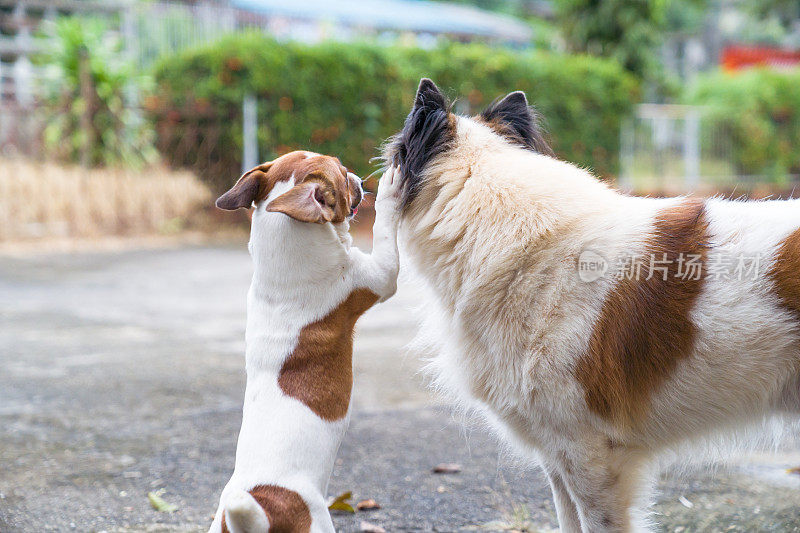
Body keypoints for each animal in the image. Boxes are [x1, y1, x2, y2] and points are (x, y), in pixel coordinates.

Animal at [209, 151, 404, 532]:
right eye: (342, 175)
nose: (360, 181)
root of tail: (261, 511)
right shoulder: (379, 276)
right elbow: (385, 228)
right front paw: (391, 185)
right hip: (318, 522)